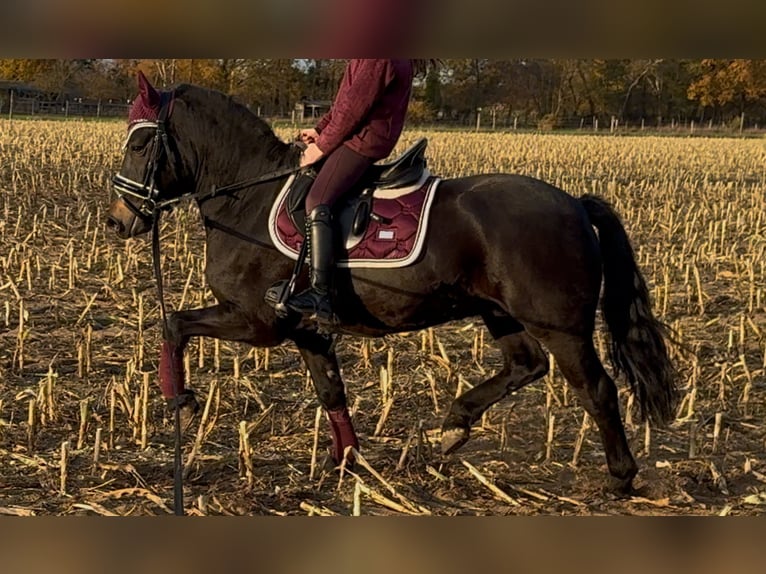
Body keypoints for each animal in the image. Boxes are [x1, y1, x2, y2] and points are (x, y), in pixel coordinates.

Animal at [107, 72, 677, 494]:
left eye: (140, 142)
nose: (118, 220)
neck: (246, 196)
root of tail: (574, 203)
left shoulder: (256, 321)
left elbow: (174, 323)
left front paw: (179, 398)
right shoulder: (307, 331)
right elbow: (330, 390)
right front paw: (347, 462)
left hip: (562, 328)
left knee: (597, 390)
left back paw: (620, 478)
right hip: (501, 313)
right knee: (525, 365)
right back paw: (454, 425)